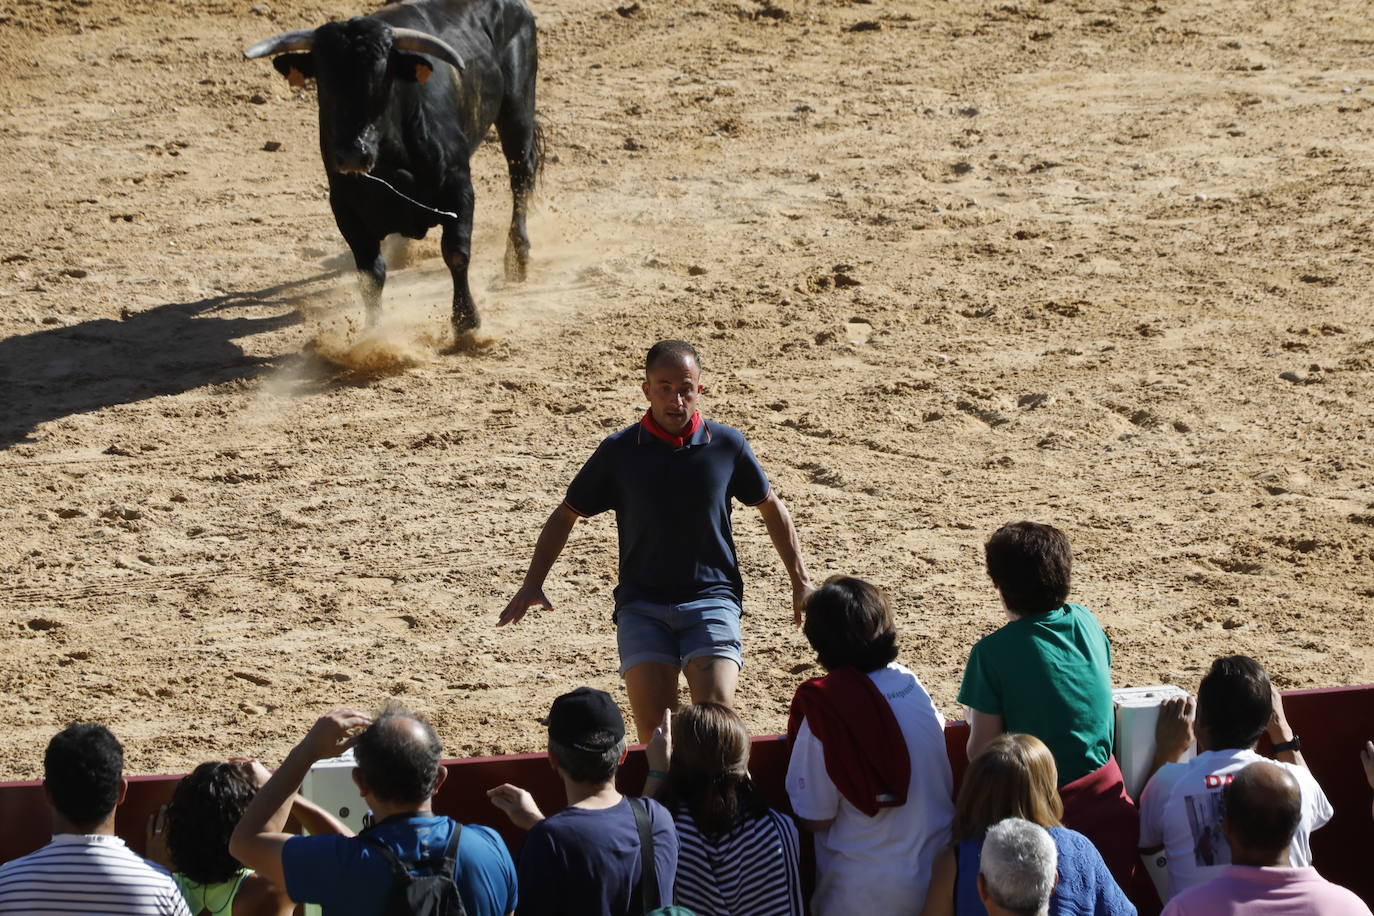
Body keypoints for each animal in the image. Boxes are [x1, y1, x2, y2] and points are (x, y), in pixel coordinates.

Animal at [244, 0, 538, 336]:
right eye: (324, 81)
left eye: (383, 79)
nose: (352, 155)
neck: (392, 160)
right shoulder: (345, 207)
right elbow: (370, 275)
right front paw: (374, 333)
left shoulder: (459, 188)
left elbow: (456, 253)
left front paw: (466, 323)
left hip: (517, 107)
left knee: (521, 174)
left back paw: (517, 258)